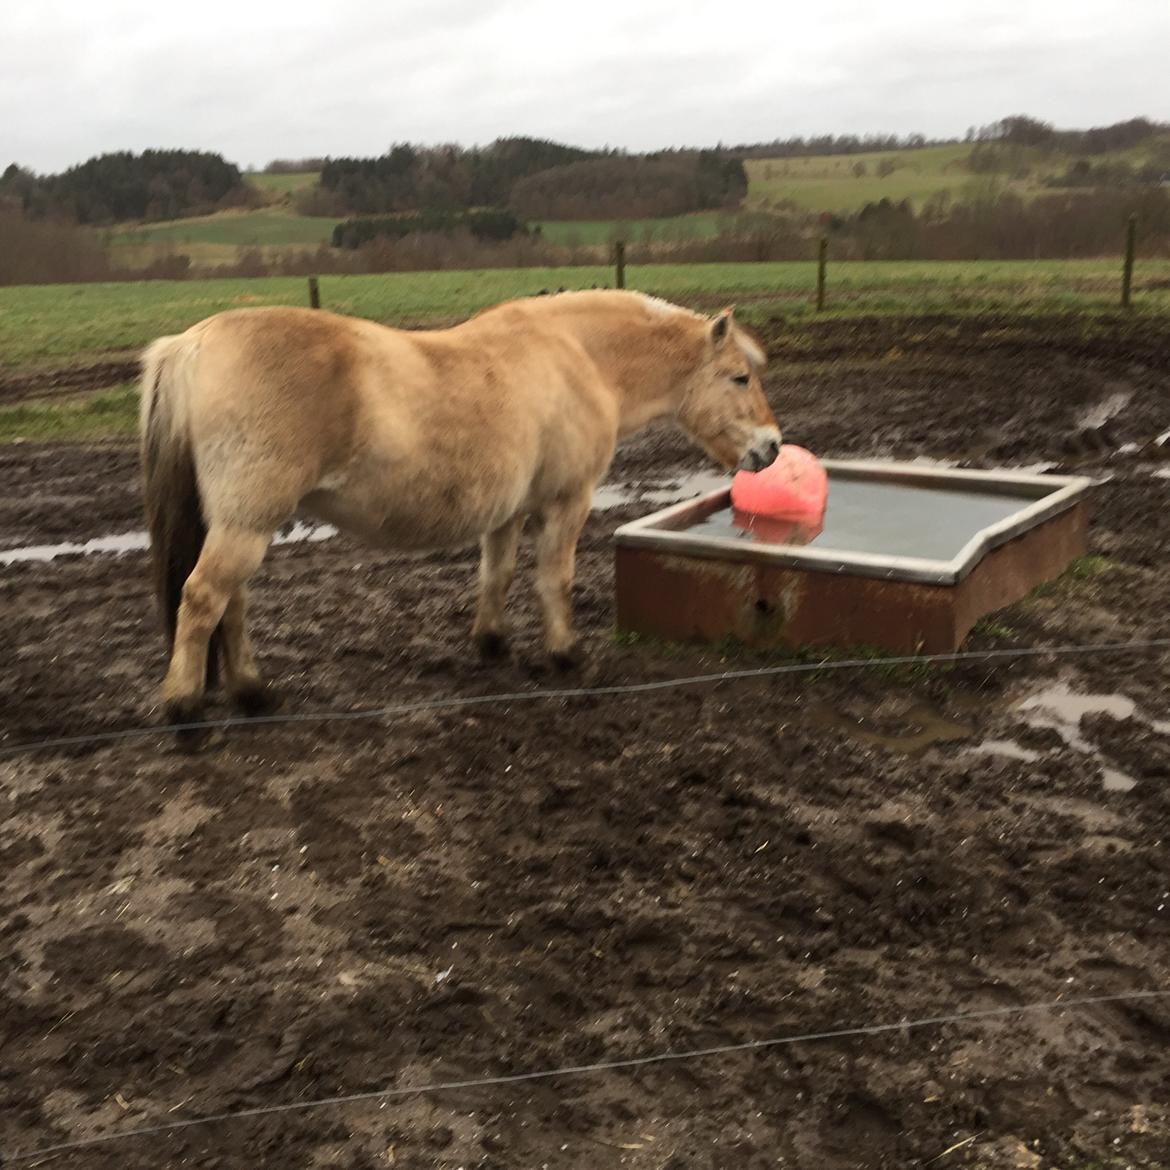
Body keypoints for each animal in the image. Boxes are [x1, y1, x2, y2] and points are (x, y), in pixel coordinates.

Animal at [139, 287, 776, 720]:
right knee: (204, 599)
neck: (578, 355)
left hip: (239, 524)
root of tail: (191, 344)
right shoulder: (567, 499)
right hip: (246, 523)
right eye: (739, 378)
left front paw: (491, 643)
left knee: (232, 605)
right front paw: (566, 654)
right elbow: (555, 579)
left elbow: (496, 574)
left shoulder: (508, 510)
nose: (771, 448)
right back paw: (183, 709)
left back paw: (252, 693)